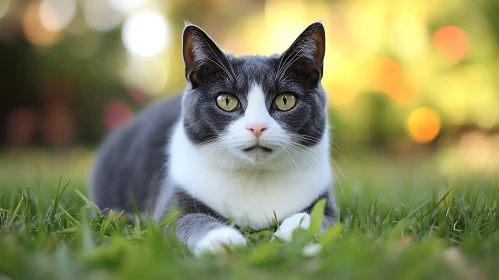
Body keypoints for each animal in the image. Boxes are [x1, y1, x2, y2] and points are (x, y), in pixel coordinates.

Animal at [90, 21, 340, 256]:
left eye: (285, 100)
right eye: (226, 101)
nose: (256, 127)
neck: (256, 177)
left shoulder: (326, 204)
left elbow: (321, 219)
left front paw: (293, 233)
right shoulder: (172, 205)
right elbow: (188, 220)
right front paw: (223, 239)